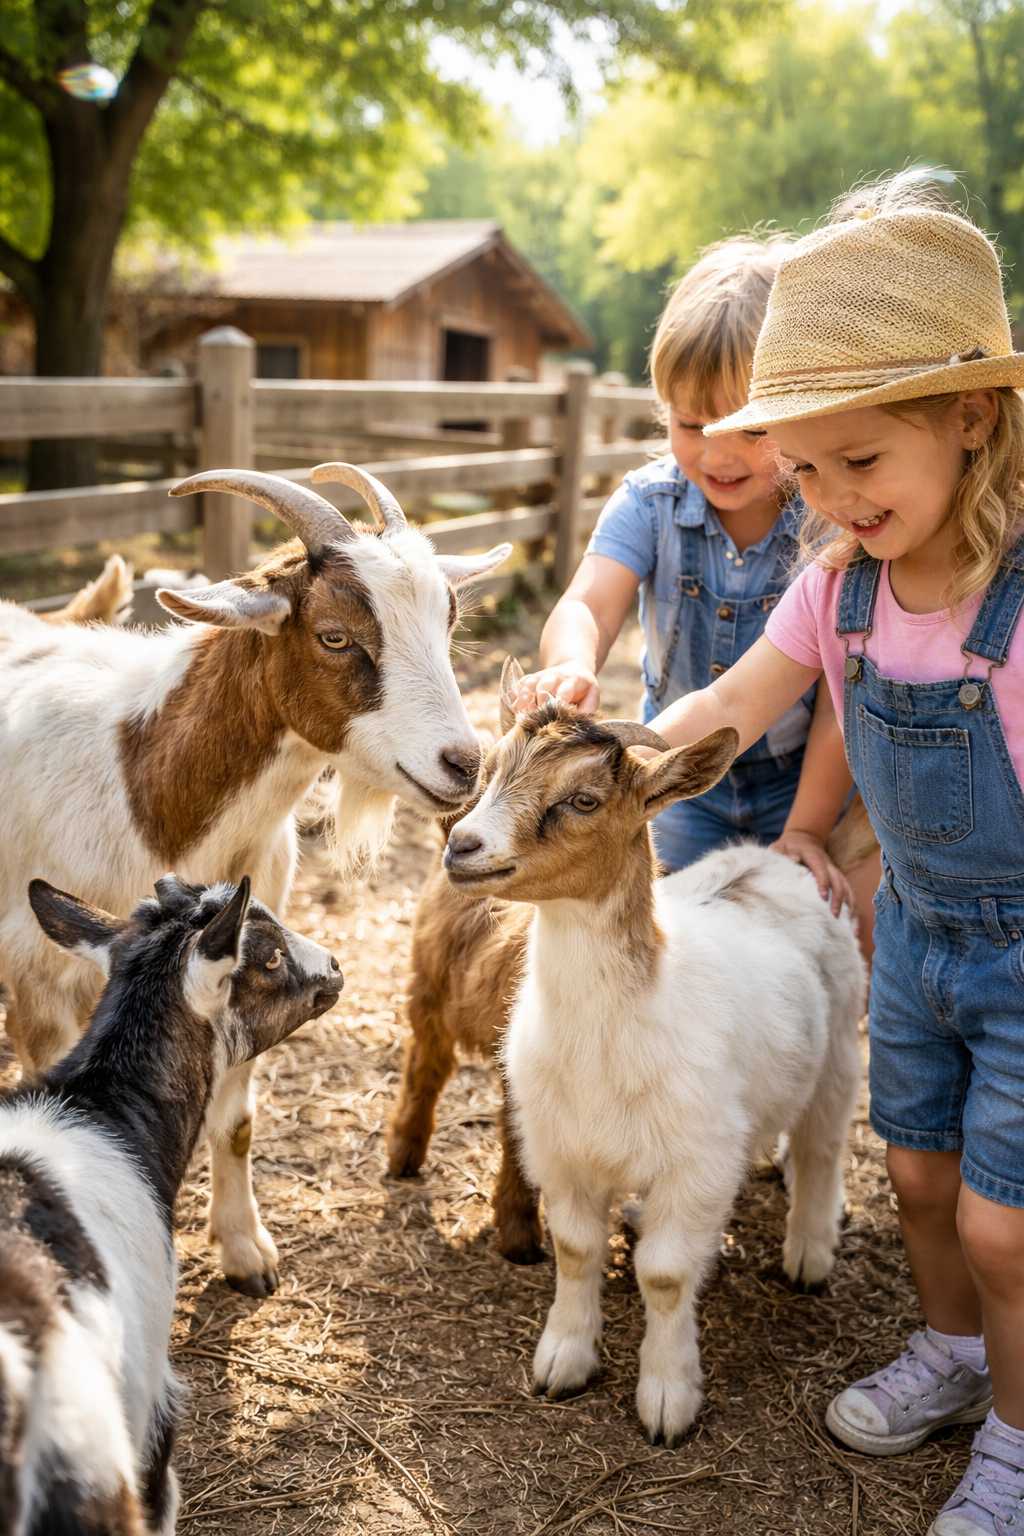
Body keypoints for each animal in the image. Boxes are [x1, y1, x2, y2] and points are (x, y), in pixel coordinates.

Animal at [0, 463, 507, 1296]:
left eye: (448, 624)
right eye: (335, 635)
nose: (464, 764)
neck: (147, 782)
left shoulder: (241, 956)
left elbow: (235, 1120)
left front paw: (245, 1250)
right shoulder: (43, 974)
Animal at [436, 664, 864, 1445]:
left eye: (583, 799)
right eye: (490, 771)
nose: (464, 846)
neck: (616, 1032)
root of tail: (778, 858)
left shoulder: (696, 1163)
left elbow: (664, 1275)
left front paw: (668, 1399)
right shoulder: (561, 1150)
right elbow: (576, 1248)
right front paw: (563, 1361)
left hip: (841, 1045)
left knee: (822, 1144)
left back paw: (810, 1252)